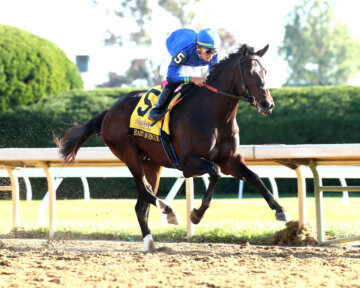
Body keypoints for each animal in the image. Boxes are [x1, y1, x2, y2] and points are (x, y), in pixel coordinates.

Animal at [59, 44, 290, 251]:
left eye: (265, 71)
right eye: (251, 72)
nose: (267, 104)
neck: (214, 115)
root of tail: (108, 112)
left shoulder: (230, 160)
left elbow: (254, 177)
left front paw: (280, 210)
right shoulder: (188, 163)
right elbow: (215, 173)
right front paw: (196, 214)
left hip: (152, 164)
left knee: (141, 203)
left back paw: (151, 243)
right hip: (129, 154)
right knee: (144, 192)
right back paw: (168, 211)